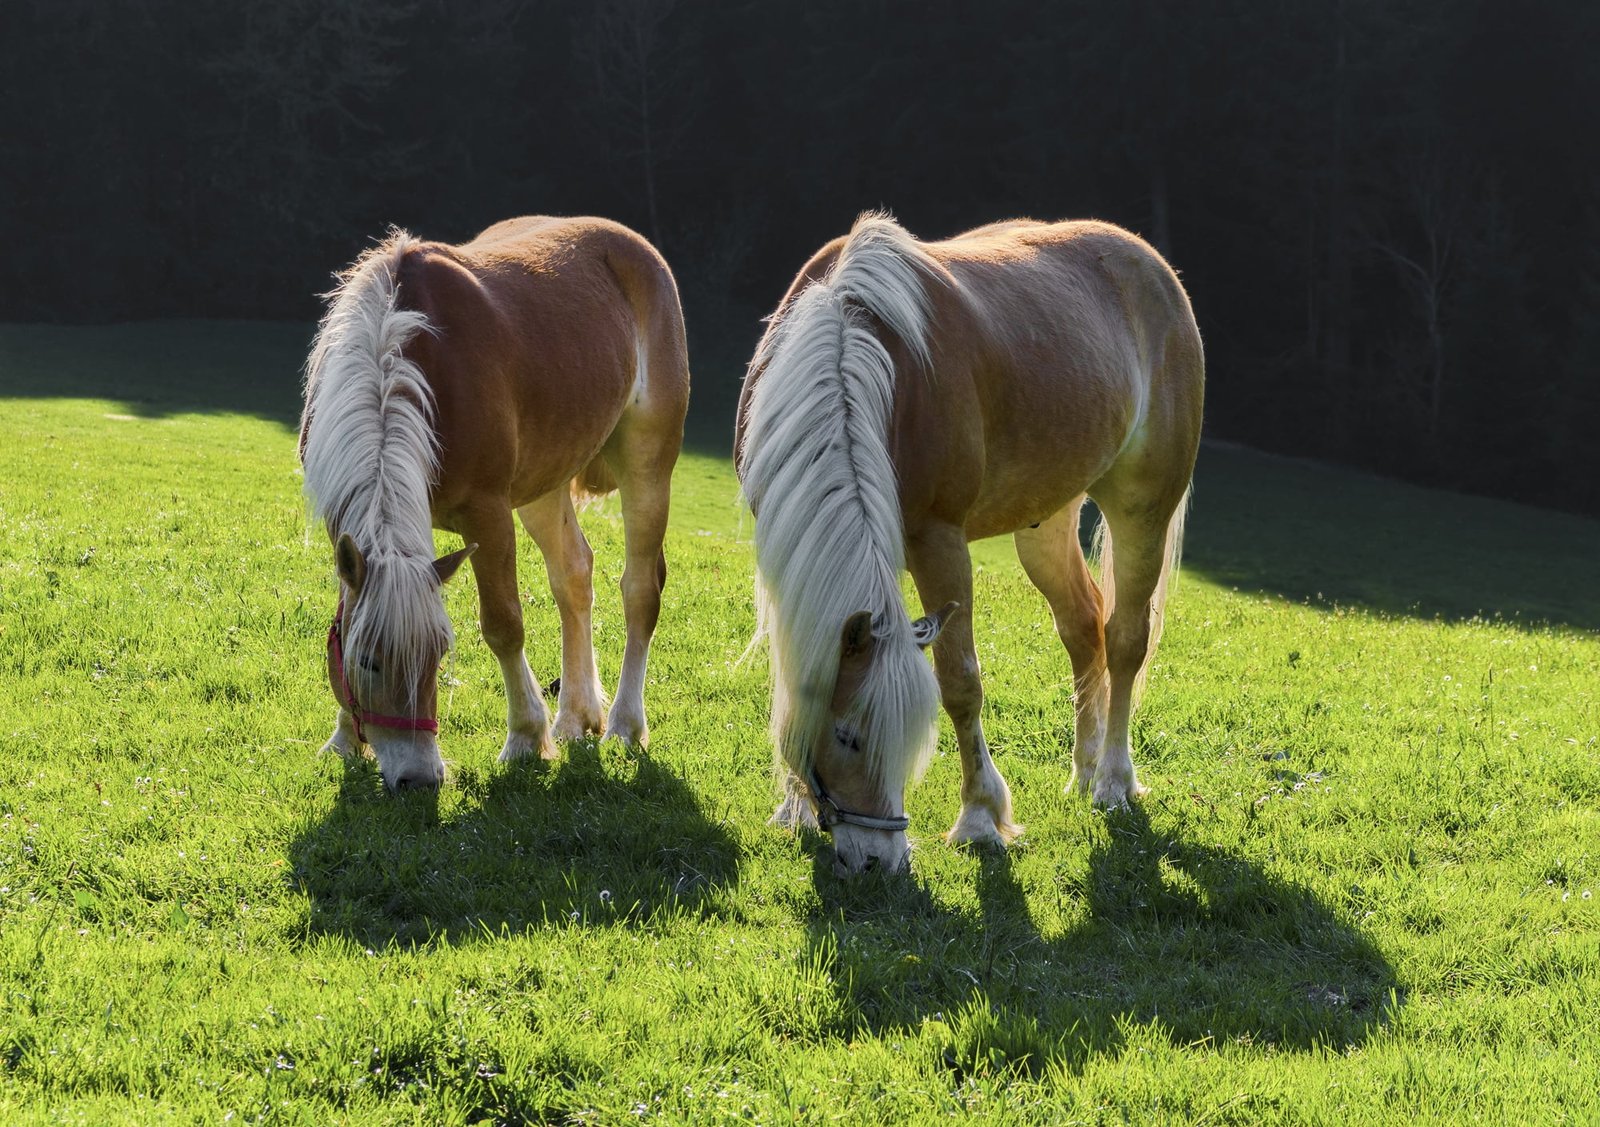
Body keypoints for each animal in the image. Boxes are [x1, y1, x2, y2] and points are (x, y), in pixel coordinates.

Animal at [299, 216, 689, 790]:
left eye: (439, 654)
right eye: (369, 661)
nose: (419, 778)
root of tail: (634, 246)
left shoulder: (489, 517)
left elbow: (503, 626)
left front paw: (526, 738)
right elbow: (347, 618)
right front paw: (346, 738)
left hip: (648, 462)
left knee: (640, 590)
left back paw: (622, 725)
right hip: (545, 486)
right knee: (573, 576)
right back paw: (575, 717)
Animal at [735, 213, 1203, 874]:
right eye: (848, 735)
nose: (878, 860)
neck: (853, 354)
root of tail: (1154, 268)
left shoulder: (939, 543)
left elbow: (960, 683)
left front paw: (980, 816)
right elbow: (793, 672)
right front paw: (796, 808)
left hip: (1142, 510)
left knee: (1125, 641)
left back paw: (1113, 781)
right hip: (1046, 523)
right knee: (1083, 630)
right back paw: (1084, 772)